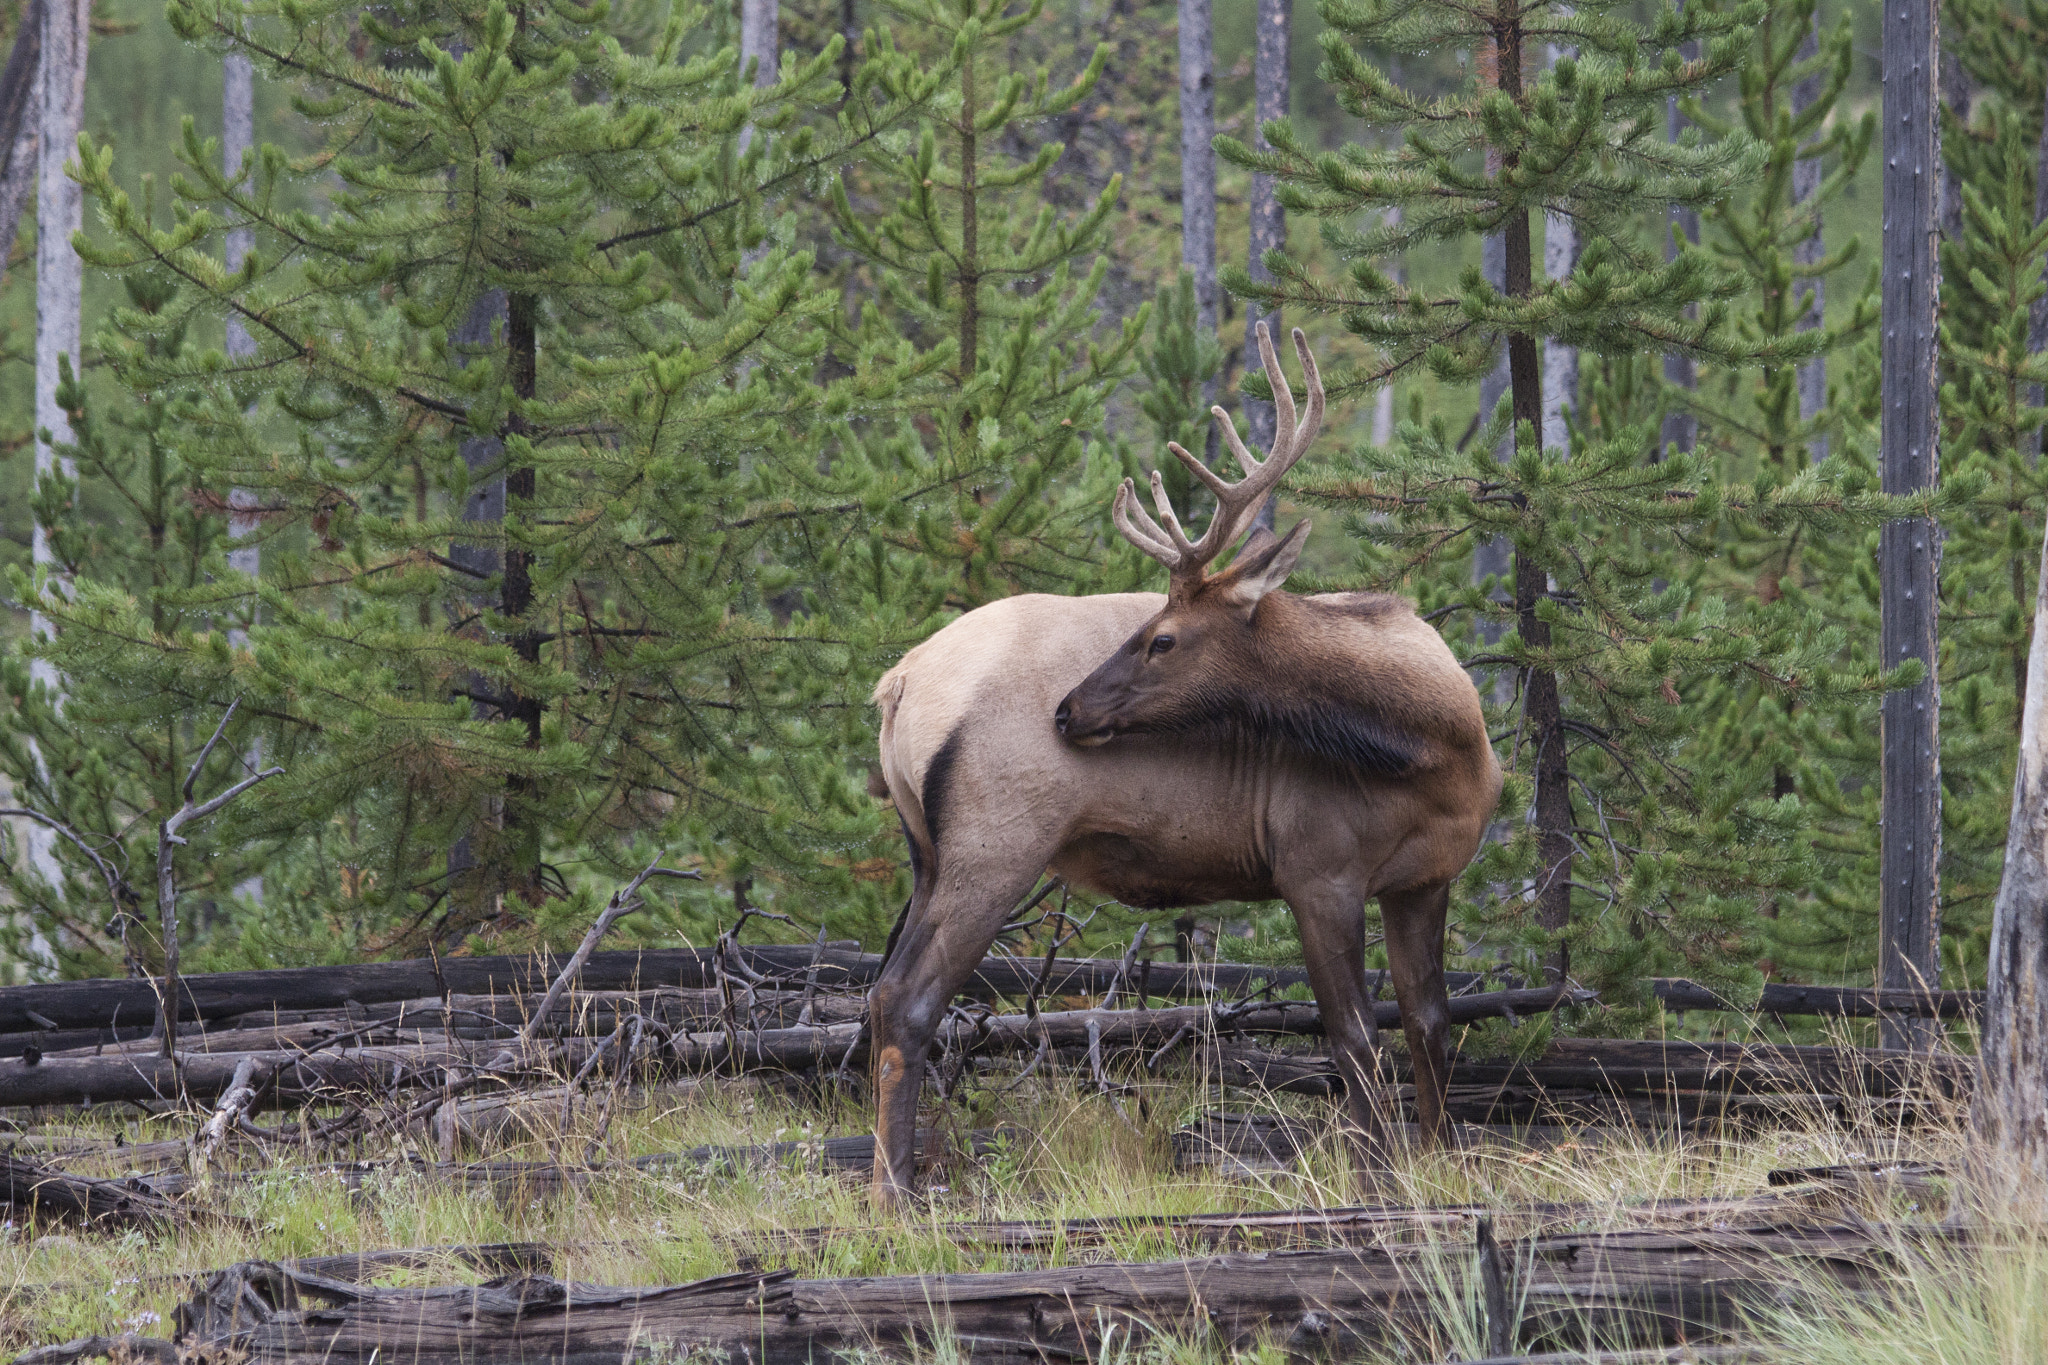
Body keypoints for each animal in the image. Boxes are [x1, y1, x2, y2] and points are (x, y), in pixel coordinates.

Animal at [864, 324, 1502, 1207]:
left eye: (1163, 638)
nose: (1067, 709)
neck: (1440, 746)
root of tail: (897, 684)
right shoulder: (1317, 867)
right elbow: (1351, 1037)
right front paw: (1373, 1180)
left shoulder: (1424, 878)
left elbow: (1431, 1026)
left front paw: (1437, 1164)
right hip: (995, 844)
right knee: (910, 998)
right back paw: (895, 1190)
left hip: (926, 852)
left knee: (878, 991)